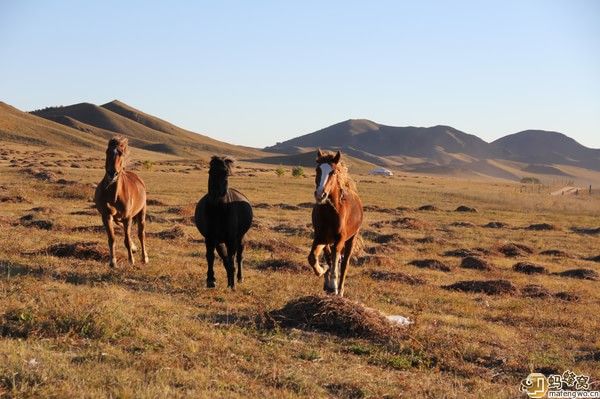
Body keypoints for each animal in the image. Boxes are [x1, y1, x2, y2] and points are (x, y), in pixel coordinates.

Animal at [95, 138, 149, 268]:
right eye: (107, 152)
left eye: (121, 154)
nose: (112, 173)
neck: (114, 195)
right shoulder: (106, 216)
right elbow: (112, 238)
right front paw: (113, 262)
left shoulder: (127, 217)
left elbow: (127, 240)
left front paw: (131, 260)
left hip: (141, 212)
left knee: (141, 234)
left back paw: (144, 258)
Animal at [195, 155, 253, 290]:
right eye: (210, 172)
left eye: (226, 173)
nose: (216, 195)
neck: (218, 210)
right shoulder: (210, 238)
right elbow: (211, 257)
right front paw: (211, 280)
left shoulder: (230, 239)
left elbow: (231, 259)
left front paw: (232, 284)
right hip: (219, 241)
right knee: (225, 257)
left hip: (240, 238)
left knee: (239, 256)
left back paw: (239, 278)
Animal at [310, 150, 360, 296]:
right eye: (318, 170)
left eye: (333, 172)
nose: (320, 194)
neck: (330, 212)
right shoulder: (320, 237)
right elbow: (313, 258)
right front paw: (323, 271)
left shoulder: (340, 240)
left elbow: (336, 261)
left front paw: (333, 285)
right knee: (331, 258)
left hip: (351, 239)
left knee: (344, 264)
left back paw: (340, 289)